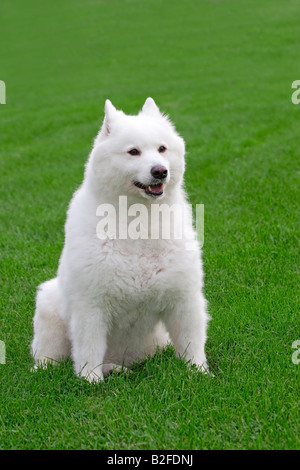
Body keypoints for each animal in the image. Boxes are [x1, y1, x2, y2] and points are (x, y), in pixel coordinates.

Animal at [30, 98, 209, 382]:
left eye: (162, 149)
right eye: (133, 152)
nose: (160, 171)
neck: (138, 221)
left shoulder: (184, 299)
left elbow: (191, 344)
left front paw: (199, 373)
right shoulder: (90, 307)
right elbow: (89, 350)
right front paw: (90, 382)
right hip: (48, 306)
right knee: (49, 358)